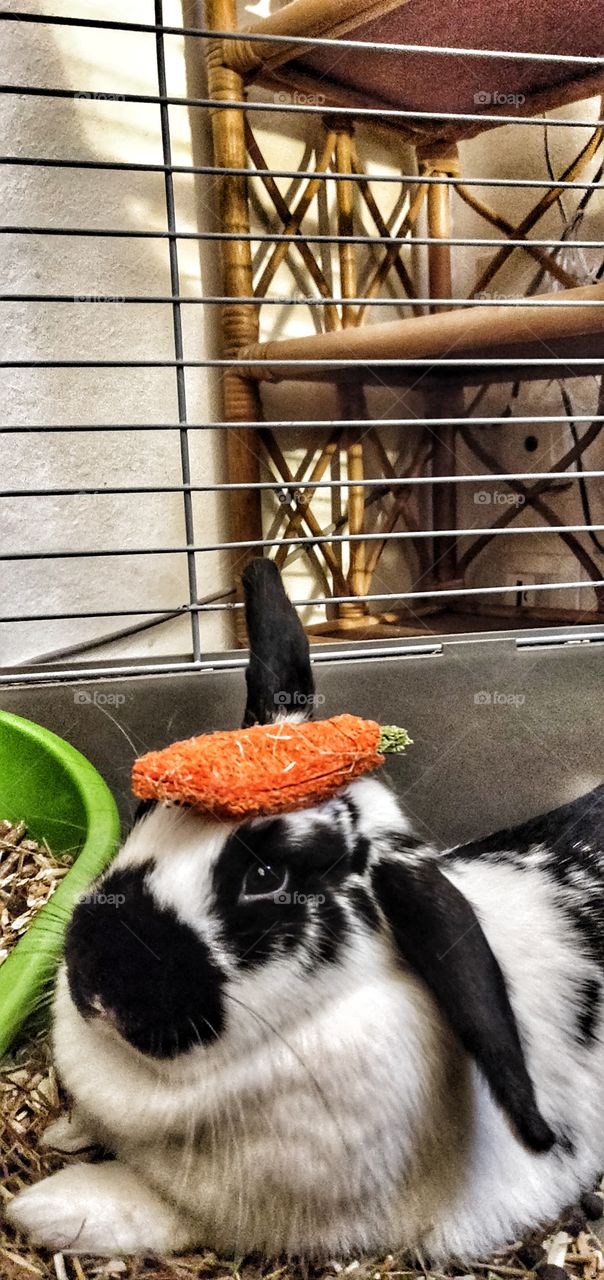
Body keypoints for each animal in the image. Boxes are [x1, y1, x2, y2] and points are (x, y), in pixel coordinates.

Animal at [6, 557, 604, 1261]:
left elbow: (164, 1210)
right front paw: (63, 1137)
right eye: (142, 808)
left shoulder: (255, 1223)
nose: (96, 972)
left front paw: (46, 1206)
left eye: (268, 878)